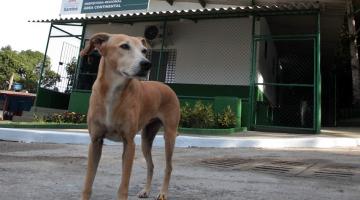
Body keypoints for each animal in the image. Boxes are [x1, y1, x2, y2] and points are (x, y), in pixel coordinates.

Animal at [81, 32, 180, 200]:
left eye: (144, 50)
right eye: (124, 46)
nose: (147, 64)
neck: (114, 92)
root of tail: (166, 86)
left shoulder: (129, 143)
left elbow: (123, 187)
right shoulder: (95, 141)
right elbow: (88, 184)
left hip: (169, 137)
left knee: (169, 166)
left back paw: (163, 193)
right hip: (146, 140)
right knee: (151, 165)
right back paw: (146, 190)